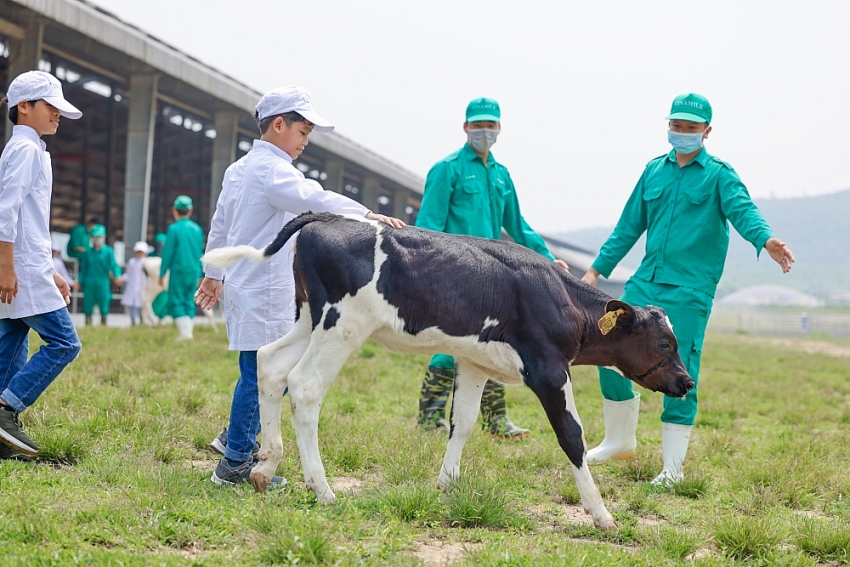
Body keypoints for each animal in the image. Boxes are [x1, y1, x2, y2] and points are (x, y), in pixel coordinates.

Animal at [202, 212, 692, 528]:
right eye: (664, 343)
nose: (686, 382)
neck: (561, 297)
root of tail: (325, 220)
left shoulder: (475, 361)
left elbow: (463, 422)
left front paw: (447, 485)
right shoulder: (549, 369)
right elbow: (572, 436)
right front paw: (601, 513)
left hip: (309, 318)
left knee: (269, 364)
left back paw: (265, 466)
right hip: (342, 326)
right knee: (304, 387)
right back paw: (322, 490)